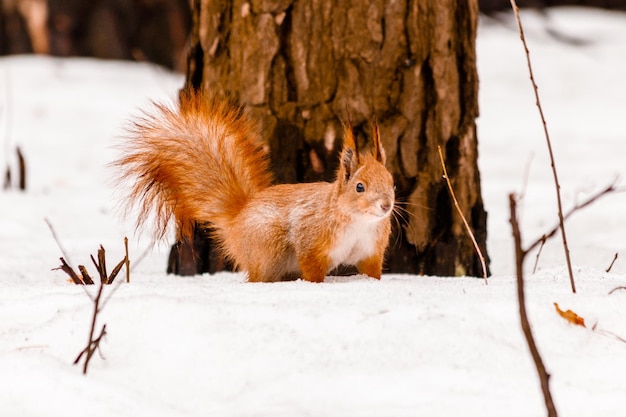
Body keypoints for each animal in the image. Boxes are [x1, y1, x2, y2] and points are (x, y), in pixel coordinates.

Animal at [114, 88, 392, 282]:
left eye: (392, 182)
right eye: (359, 187)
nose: (386, 206)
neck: (359, 221)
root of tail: (238, 219)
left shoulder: (371, 250)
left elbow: (372, 271)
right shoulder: (311, 241)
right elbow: (312, 267)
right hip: (269, 246)